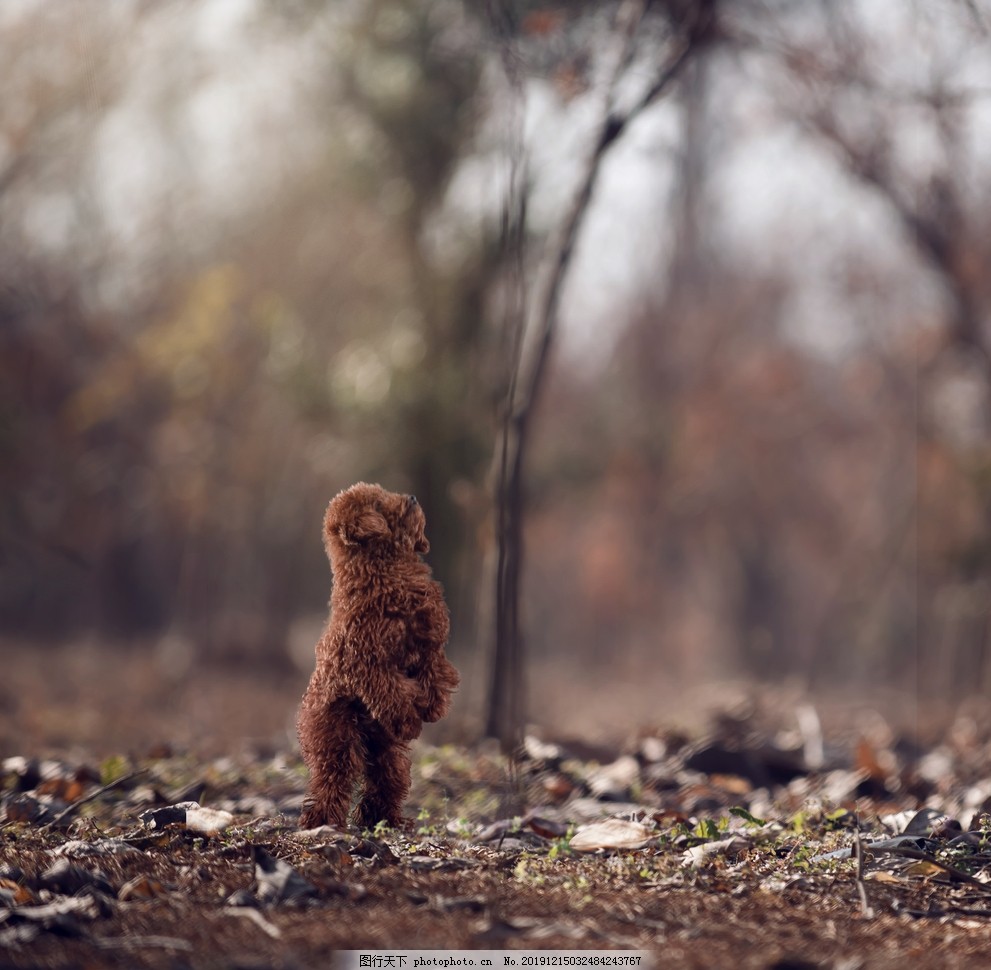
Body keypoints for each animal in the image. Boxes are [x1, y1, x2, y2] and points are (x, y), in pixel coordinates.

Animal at [296, 480, 464, 828]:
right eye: (376, 504)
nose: (412, 497)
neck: (384, 570)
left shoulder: (430, 645)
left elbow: (435, 676)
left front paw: (431, 708)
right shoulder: (366, 663)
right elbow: (391, 693)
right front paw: (410, 720)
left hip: (383, 748)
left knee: (386, 779)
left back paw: (385, 818)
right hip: (336, 736)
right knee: (333, 778)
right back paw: (321, 820)